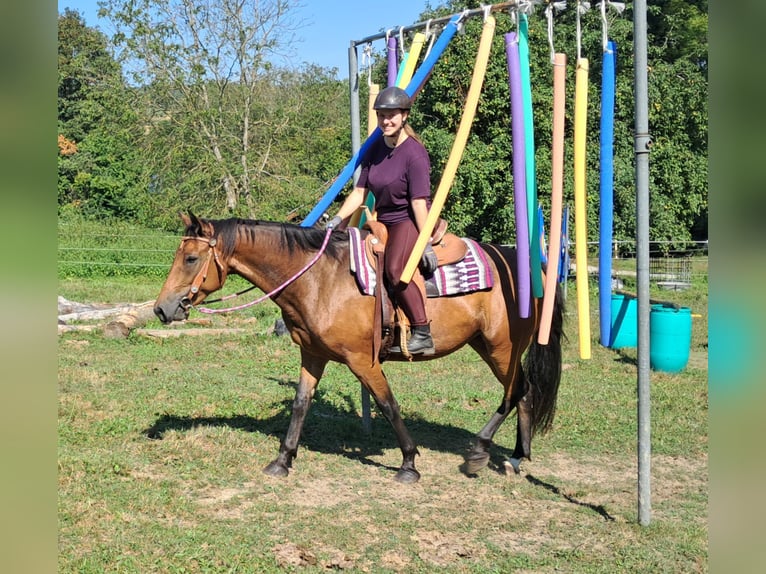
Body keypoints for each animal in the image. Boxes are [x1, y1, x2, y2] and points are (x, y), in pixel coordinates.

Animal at [153, 213, 564, 483]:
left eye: (191, 258)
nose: (161, 308)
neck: (320, 279)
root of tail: (533, 270)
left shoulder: (362, 361)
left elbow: (387, 404)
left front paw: (409, 463)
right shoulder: (312, 355)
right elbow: (301, 405)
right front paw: (283, 460)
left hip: (501, 347)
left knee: (515, 391)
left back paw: (480, 450)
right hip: (489, 346)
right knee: (525, 392)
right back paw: (516, 458)